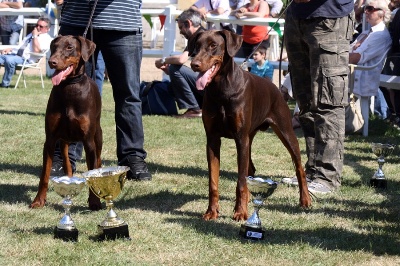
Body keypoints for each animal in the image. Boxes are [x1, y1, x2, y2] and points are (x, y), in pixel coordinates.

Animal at [29, 34, 101, 210]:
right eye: (54, 47)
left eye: (70, 47)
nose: (51, 62)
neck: (70, 87)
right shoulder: (50, 139)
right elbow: (44, 175)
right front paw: (38, 201)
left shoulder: (88, 141)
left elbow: (91, 172)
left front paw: (94, 202)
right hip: (64, 139)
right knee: (66, 155)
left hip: (98, 134)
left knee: (98, 160)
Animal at [188, 30, 312, 221]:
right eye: (196, 45)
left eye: (213, 45)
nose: (194, 64)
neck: (221, 89)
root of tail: (276, 87)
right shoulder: (212, 139)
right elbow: (213, 181)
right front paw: (212, 211)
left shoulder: (240, 138)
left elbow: (240, 180)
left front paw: (240, 212)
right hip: (250, 137)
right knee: (250, 169)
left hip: (285, 131)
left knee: (299, 168)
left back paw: (305, 200)